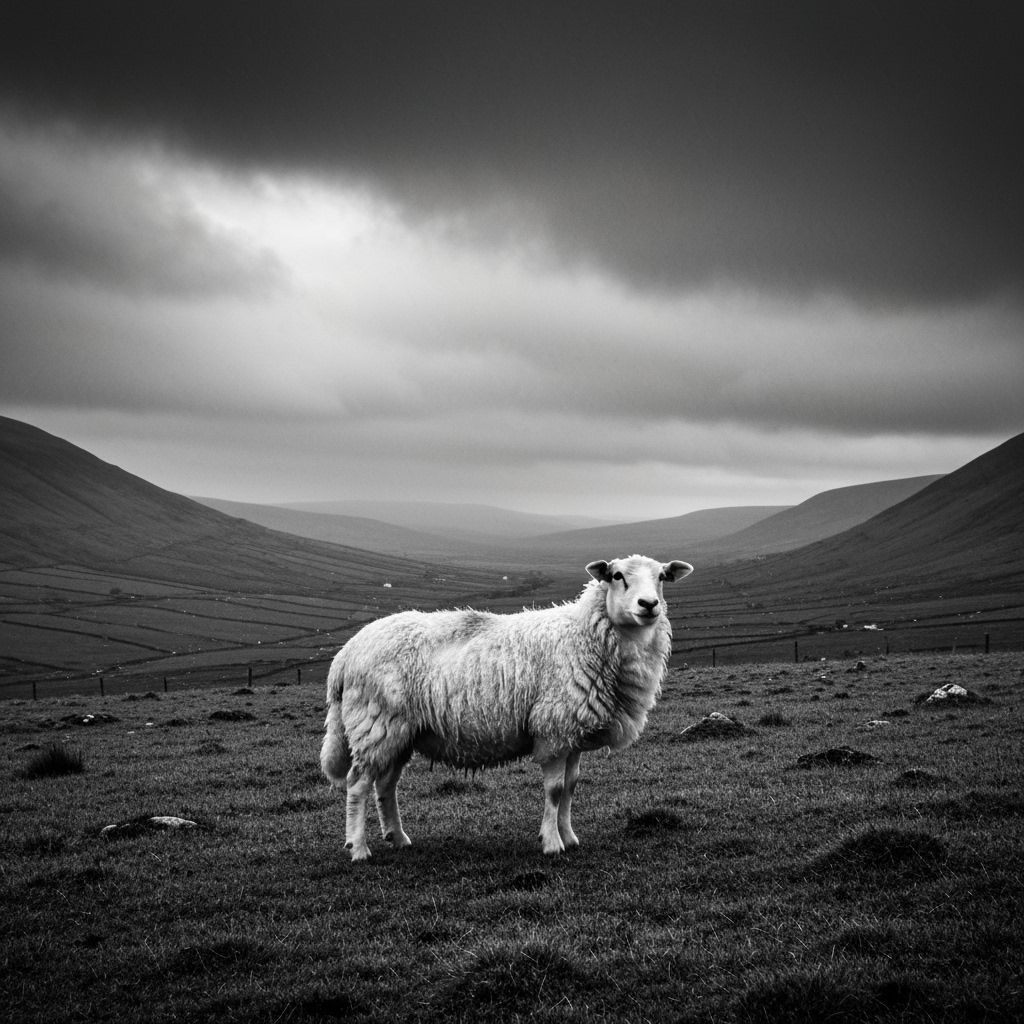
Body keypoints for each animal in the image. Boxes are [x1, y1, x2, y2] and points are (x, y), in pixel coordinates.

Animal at [320, 554, 694, 860]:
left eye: (662, 576)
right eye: (617, 576)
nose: (649, 604)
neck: (584, 636)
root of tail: (345, 654)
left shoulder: (572, 732)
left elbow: (571, 786)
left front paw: (570, 836)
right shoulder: (553, 727)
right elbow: (555, 790)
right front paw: (552, 843)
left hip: (399, 732)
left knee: (386, 784)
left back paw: (398, 838)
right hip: (376, 723)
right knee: (358, 783)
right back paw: (359, 848)